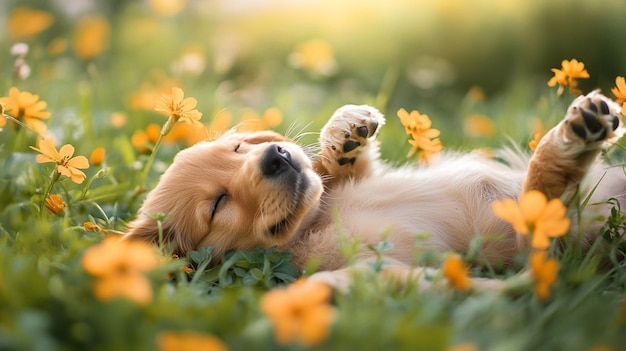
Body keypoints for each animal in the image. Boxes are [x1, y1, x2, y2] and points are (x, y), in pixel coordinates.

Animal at [123, 92, 624, 290]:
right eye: (217, 204)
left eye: (238, 148)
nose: (277, 157)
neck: (316, 222)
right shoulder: (545, 246)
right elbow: (541, 203)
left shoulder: (359, 181)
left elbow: (348, 166)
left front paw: (345, 132)